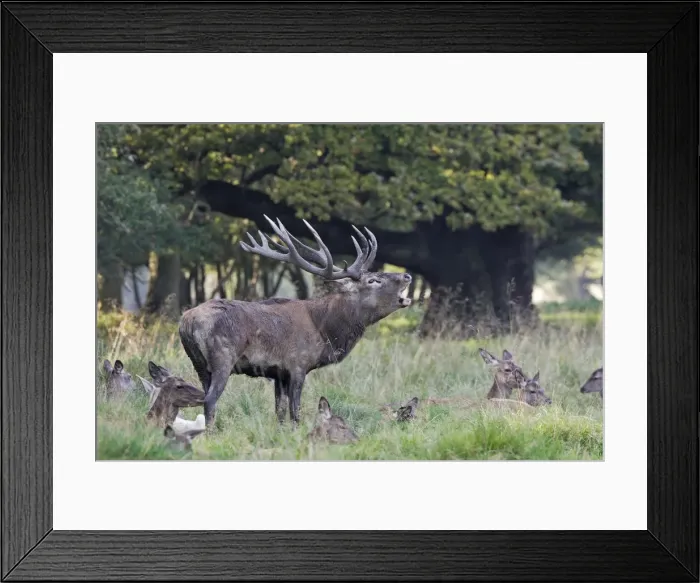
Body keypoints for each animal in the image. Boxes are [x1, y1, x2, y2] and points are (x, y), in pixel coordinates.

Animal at [179, 215, 413, 429]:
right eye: (373, 280)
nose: (407, 276)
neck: (325, 331)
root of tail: (186, 323)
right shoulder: (298, 364)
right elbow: (295, 411)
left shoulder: (278, 373)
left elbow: (280, 411)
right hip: (223, 357)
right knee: (210, 400)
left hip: (199, 364)